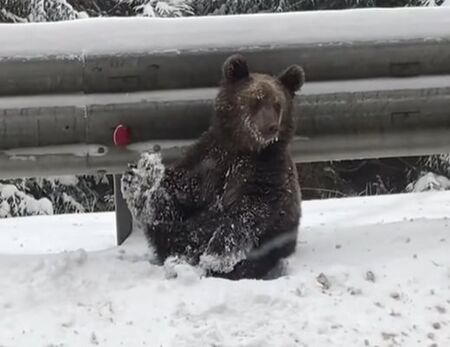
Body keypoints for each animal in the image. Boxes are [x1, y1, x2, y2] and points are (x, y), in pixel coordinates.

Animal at [121, 53, 304, 280]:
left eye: (278, 104)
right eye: (256, 100)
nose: (271, 127)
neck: (245, 148)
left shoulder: (266, 173)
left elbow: (248, 213)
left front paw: (217, 257)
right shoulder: (210, 161)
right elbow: (183, 187)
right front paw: (144, 178)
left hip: (273, 244)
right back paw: (142, 179)